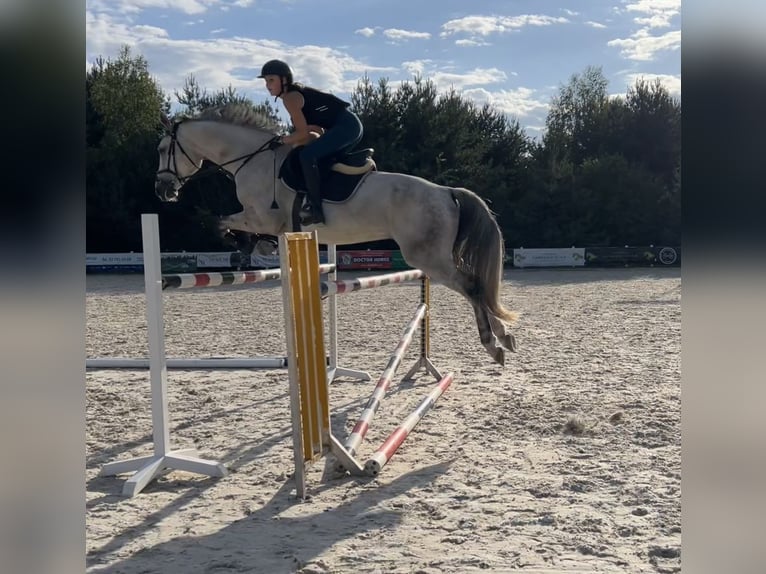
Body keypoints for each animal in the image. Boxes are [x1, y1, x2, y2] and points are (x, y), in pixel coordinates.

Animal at [154, 104, 520, 364]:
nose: (163, 190)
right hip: (432, 257)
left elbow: (220, 223)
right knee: (476, 286)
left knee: (472, 285)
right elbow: (225, 223)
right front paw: (258, 247)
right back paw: (504, 336)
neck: (251, 160)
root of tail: (446, 191)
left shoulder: (261, 217)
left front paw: (247, 245)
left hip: (428, 258)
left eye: (162, 148)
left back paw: (493, 343)